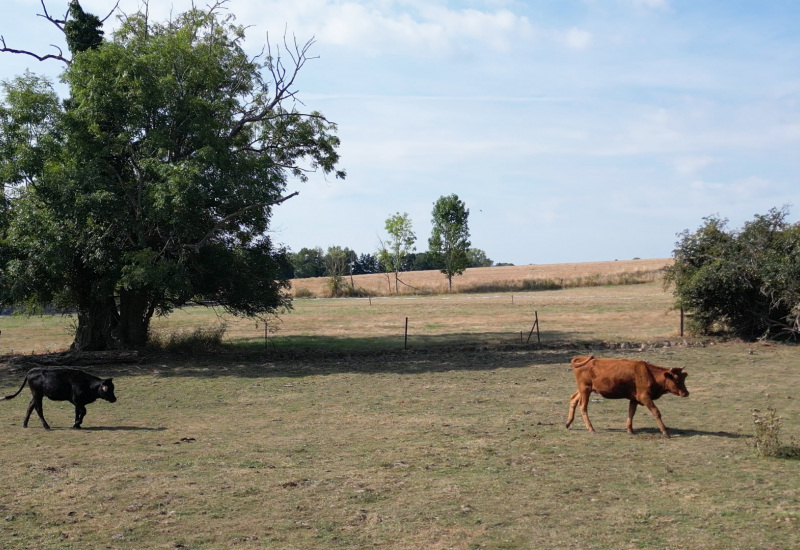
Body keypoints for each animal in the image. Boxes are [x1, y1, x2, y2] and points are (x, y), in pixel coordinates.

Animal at [564, 358, 692, 440]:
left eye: (683, 378)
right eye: (676, 379)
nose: (686, 393)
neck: (649, 373)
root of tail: (581, 358)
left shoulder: (634, 399)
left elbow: (631, 412)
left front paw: (630, 430)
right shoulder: (645, 397)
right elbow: (656, 412)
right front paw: (665, 432)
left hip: (584, 389)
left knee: (573, 399)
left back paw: (568, 423)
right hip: (585, 389)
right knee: (583, 406)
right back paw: (590, 428)